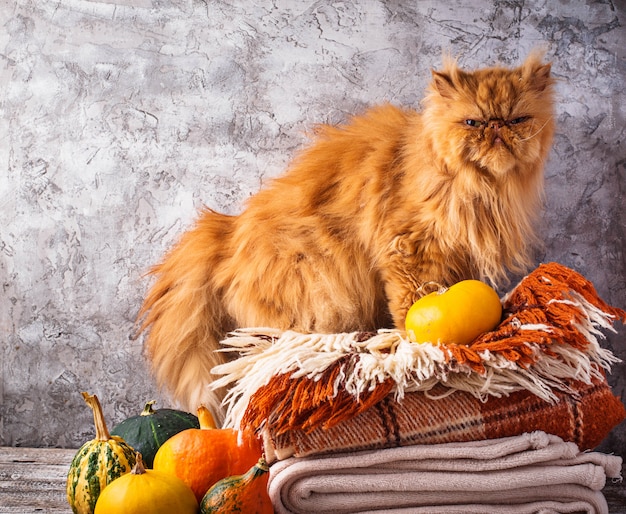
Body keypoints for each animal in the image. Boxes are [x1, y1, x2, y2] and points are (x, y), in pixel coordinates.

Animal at [139, 53, 552, 420]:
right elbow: (412, 304)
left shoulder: (458, 256)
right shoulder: (408, 249)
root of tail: (226, 231)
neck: (482, 189)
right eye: (472, 122)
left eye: (518, 119)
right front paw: (412, 349)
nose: (496, 128)